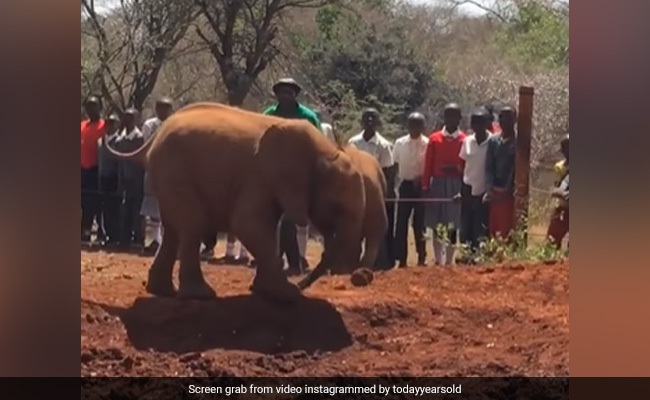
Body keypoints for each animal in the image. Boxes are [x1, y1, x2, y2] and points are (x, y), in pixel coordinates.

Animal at [106, 102, 365, 303]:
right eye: (337, 207)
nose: (302, 284)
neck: (321, 149)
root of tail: (153, 139)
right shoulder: (259, 177)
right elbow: (248, 225)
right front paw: (287, 295)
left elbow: (263, 227)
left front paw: (263, 292)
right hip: (174, 171)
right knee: (191, 225)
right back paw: (200, 295)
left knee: (174, 230)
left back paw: (165, 292)